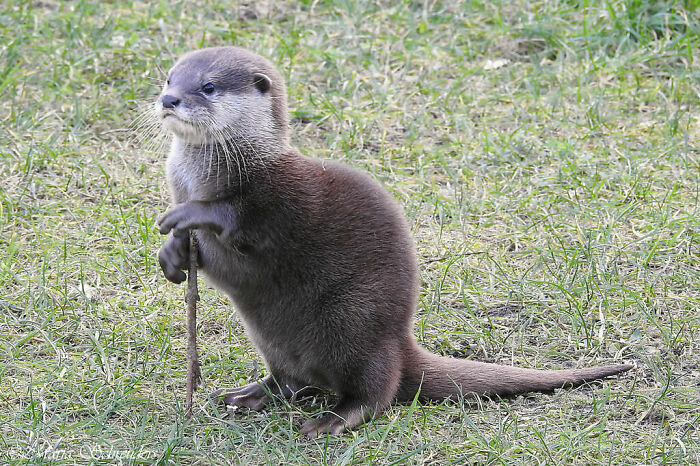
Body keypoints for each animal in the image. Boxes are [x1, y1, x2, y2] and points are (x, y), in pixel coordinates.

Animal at [155, 46, 633, 437]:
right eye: (169, 78)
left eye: (208, 86)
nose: (168, 99)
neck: (208, 174)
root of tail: (400, 344)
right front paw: (172, 254)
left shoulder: (279, 198)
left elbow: (239, 220)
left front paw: (191, 215)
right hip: (275, 339)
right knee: (291, 380)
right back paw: (245, 395)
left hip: (355, 321)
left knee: (375, 392)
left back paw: (333, 420)